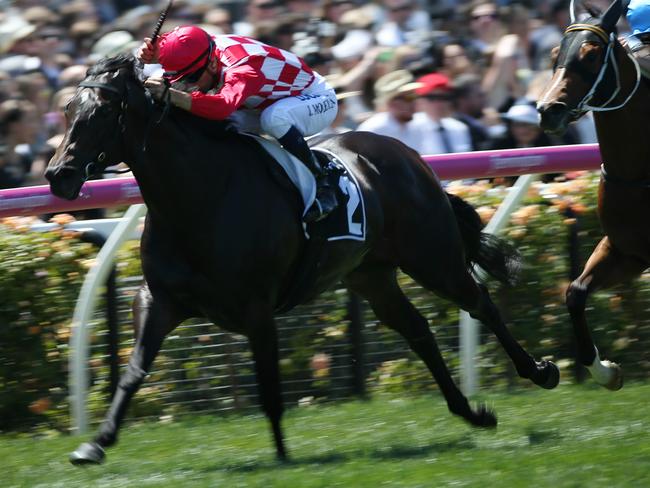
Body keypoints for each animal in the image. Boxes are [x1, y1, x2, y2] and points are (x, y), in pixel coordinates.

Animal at [45, 53, 556, 466]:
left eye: (101, 112)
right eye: (68, 109)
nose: (58, 176)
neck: (199, 196)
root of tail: (410, 155)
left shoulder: (256, 308)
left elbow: (270, 386)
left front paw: (282, 455)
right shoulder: (159, 299)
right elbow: (133, 372)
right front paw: (95, 444)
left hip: (433, 258)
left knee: (481, 303)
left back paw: (539, 372)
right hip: (371, 276)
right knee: (419, 331)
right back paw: (470, 412)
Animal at [536, 0, 648, 388]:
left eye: (591, 53)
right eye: (555, 54)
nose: (549, 110)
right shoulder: (626, 250)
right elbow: (575, 292)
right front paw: (606, 372)